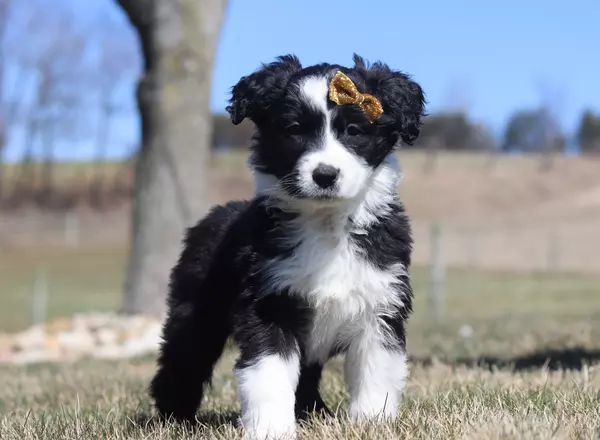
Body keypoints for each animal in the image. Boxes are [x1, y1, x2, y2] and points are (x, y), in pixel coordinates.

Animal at [150, 53, 426, 438]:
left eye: (354, 131)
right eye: (294, 130)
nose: (325, 175)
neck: (326, 224)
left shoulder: (380, 304)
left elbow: (377, 370)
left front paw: (372, 422)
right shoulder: (268, 306)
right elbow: (269, 374)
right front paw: (270, 428)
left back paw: (314, 413)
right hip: (196, 313)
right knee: (183, 361)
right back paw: (174, 420)